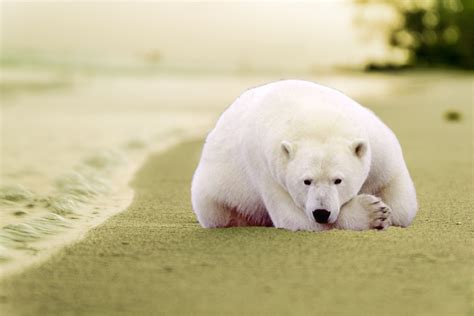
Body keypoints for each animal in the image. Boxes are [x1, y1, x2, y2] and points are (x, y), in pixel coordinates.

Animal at [191, 80, 416, 231]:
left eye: (338, 180)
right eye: (306, 181)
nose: (321, 213)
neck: (315, 115)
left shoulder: (377, 144)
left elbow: (399, 196)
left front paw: (387, 211)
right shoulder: (267, 168)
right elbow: (293, 217)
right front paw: (374, 213)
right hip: (215, 196)